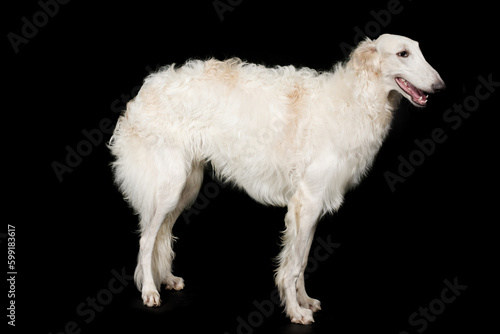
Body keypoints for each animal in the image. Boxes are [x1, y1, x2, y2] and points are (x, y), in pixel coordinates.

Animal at [109, 34, 446, 324]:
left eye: (419, 50)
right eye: (403, 53)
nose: (440, 85)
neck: (354, 98)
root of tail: (143, 92)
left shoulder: (311, 207)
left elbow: (302, 260)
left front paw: (304, 301)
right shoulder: (306, 202)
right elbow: (293, 266)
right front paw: (295, 312)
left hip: (186, 187)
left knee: (162, 235)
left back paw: (165, 279)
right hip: (169, 186)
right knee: (147, 239)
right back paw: (149, 291)